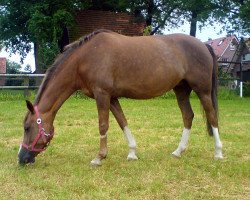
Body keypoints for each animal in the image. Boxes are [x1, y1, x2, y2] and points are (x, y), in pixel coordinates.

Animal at [18, 29, 224, 166]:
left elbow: (103, 125)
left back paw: (218, 153)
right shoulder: (112, 97)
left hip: (203, 91)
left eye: (27, 128)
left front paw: (99, 157)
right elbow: (122, 121)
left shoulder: (102, 94)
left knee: (212, 117)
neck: (84, 59)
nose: (22, 158)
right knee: (188, 116)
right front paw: (132, 153)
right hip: (181, 90)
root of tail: (203, 45)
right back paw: (178, 151)